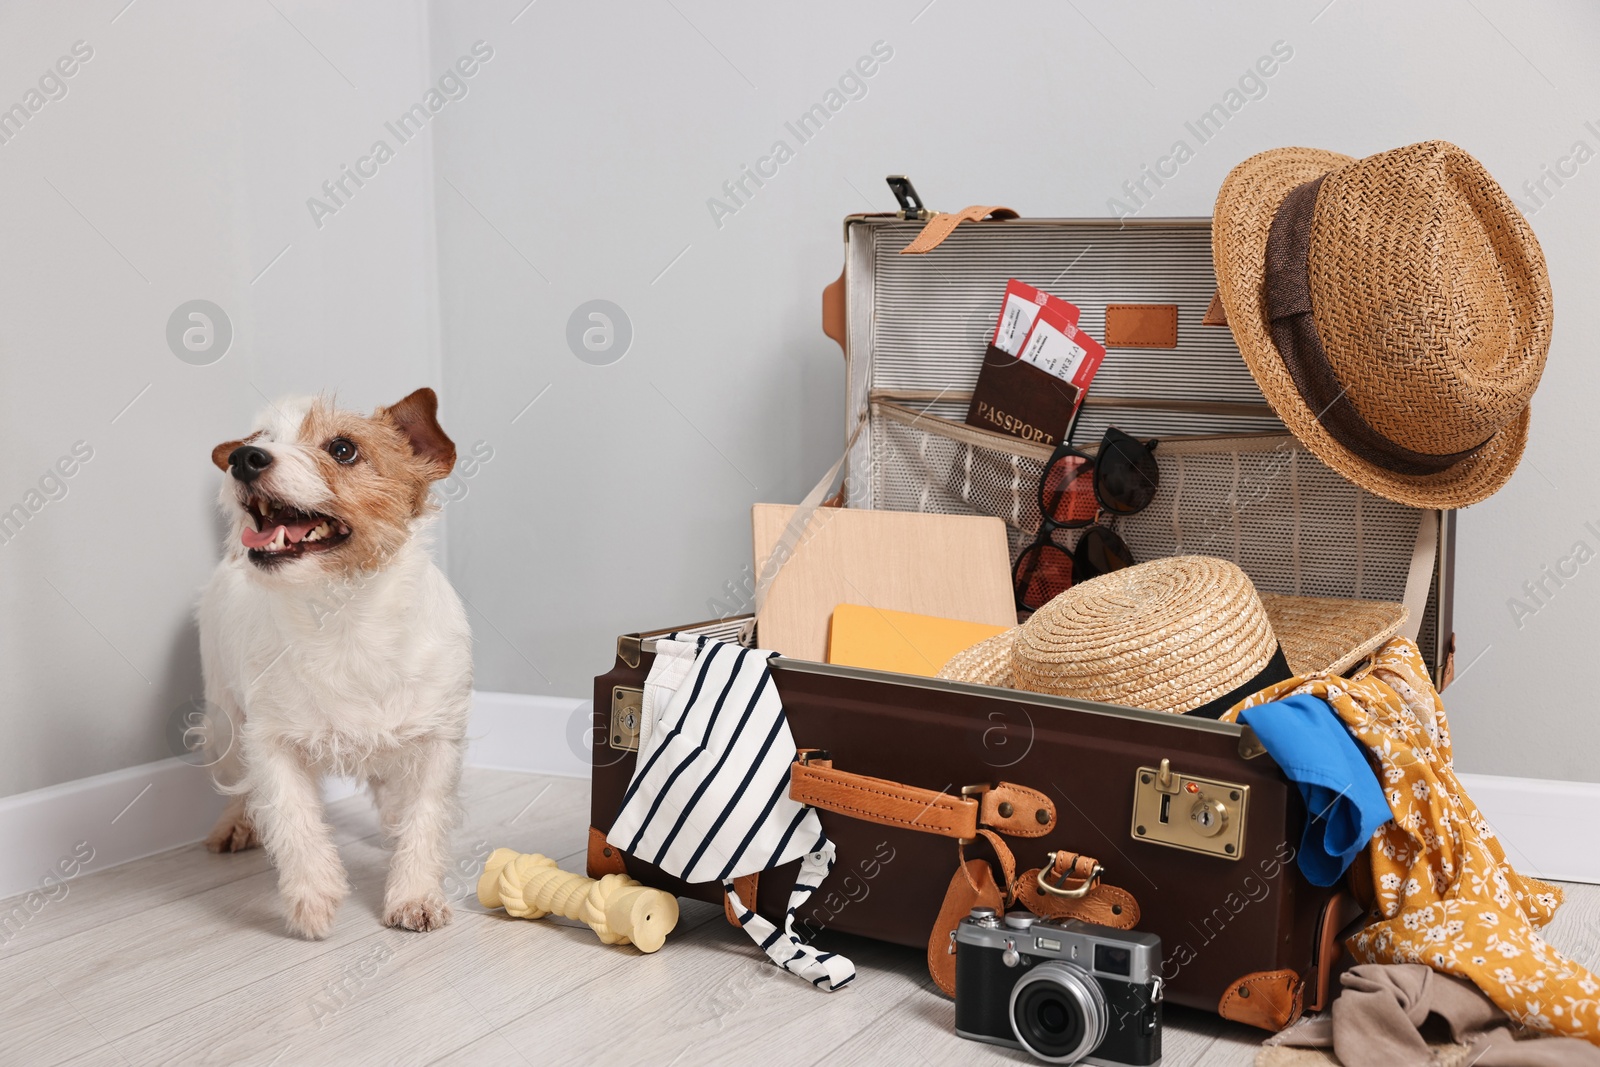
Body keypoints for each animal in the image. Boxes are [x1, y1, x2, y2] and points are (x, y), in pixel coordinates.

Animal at [198, 388, 467, 940]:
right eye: (261, 440)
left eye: (343, 449)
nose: (243, 458)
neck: (344, 613)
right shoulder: (271, 742)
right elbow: (293, 818)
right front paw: (312, 899)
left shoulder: (437, 740)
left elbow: (426, 818)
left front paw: (415, 894)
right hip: (225, 721)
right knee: (237, 782)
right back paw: (235, 824)